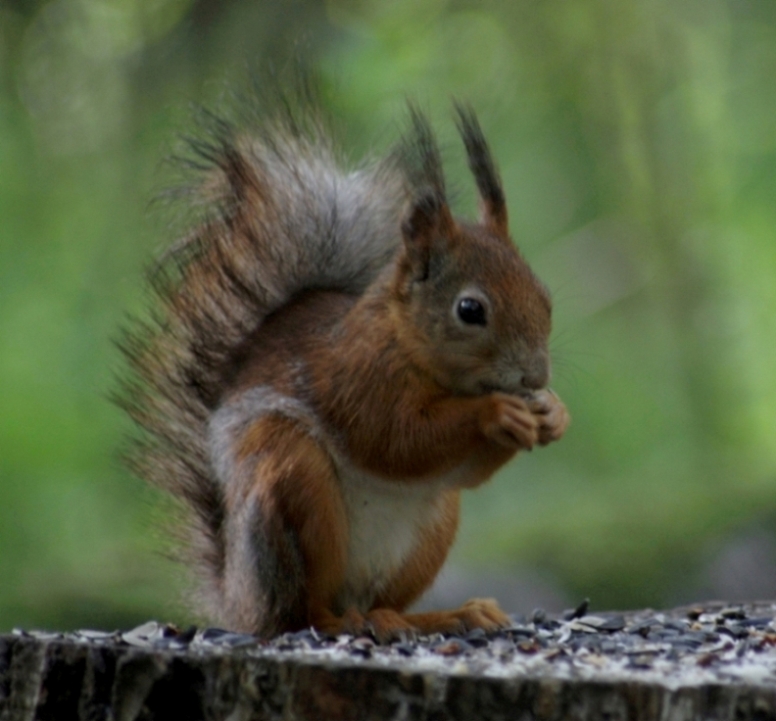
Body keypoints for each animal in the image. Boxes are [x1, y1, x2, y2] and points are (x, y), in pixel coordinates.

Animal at [123, 98, 568, 640]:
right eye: (470, 310)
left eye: (545, 298)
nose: (535, 378)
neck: (409, 345)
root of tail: (238, 601)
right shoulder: (356, 376)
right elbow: (396, 439)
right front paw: (497, 412)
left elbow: (461, 469)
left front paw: (553, 414)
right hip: (294, 481)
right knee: (299, 614)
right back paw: (344, 622)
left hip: (432, 529)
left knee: (383, 602)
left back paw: (441, 615)